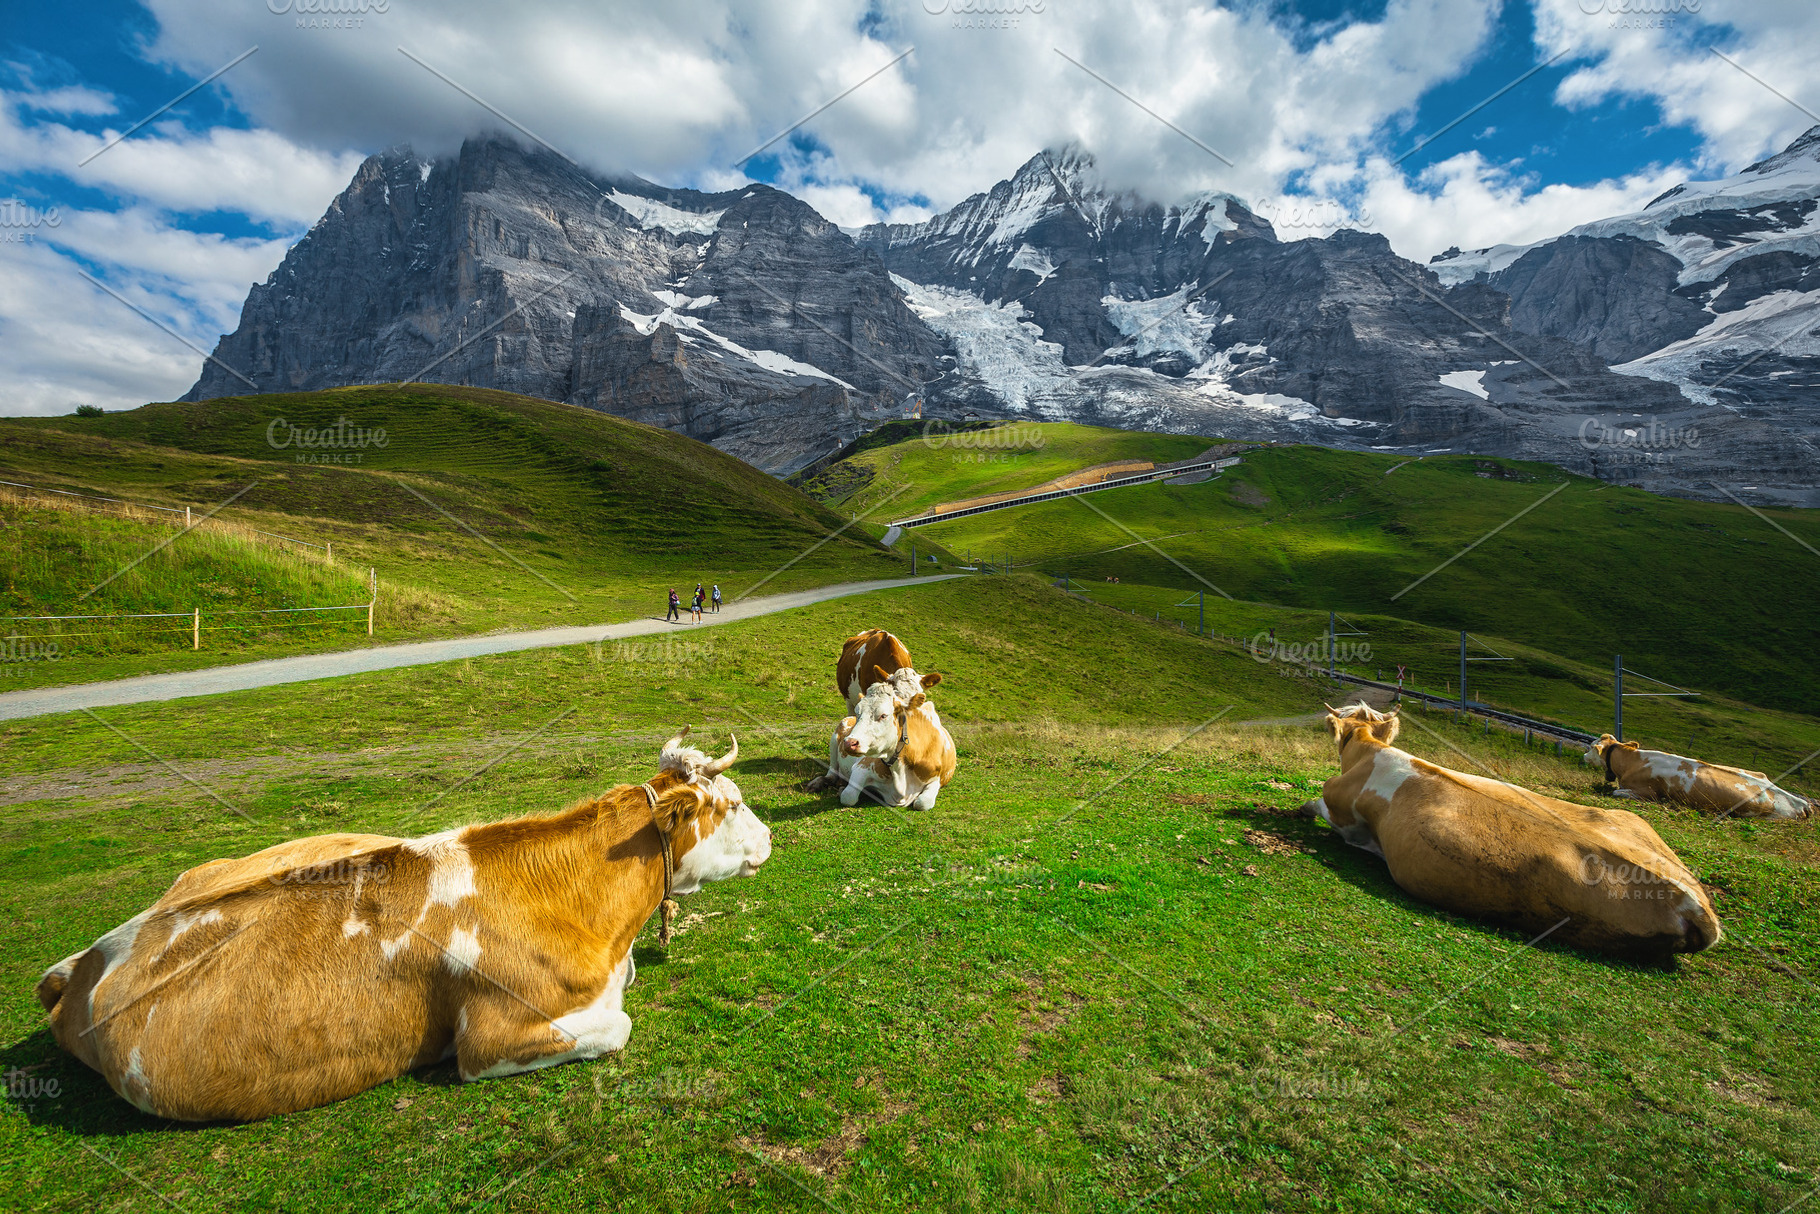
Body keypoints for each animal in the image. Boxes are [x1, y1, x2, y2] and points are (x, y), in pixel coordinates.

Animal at [824, 667, 955, 810]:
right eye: (858, 712)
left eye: (883, 715)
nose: (849, 743)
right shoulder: (861, 767)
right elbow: (848, 796)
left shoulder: (935, 779)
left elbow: (922, 803)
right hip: (836, 737)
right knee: (832, 769)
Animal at [1585, 735, 1814, 821]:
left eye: (1590, 747)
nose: (1583, 755)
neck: (1631, 761)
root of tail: (1802, 802)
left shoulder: (1646, 793)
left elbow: (1617, 792)